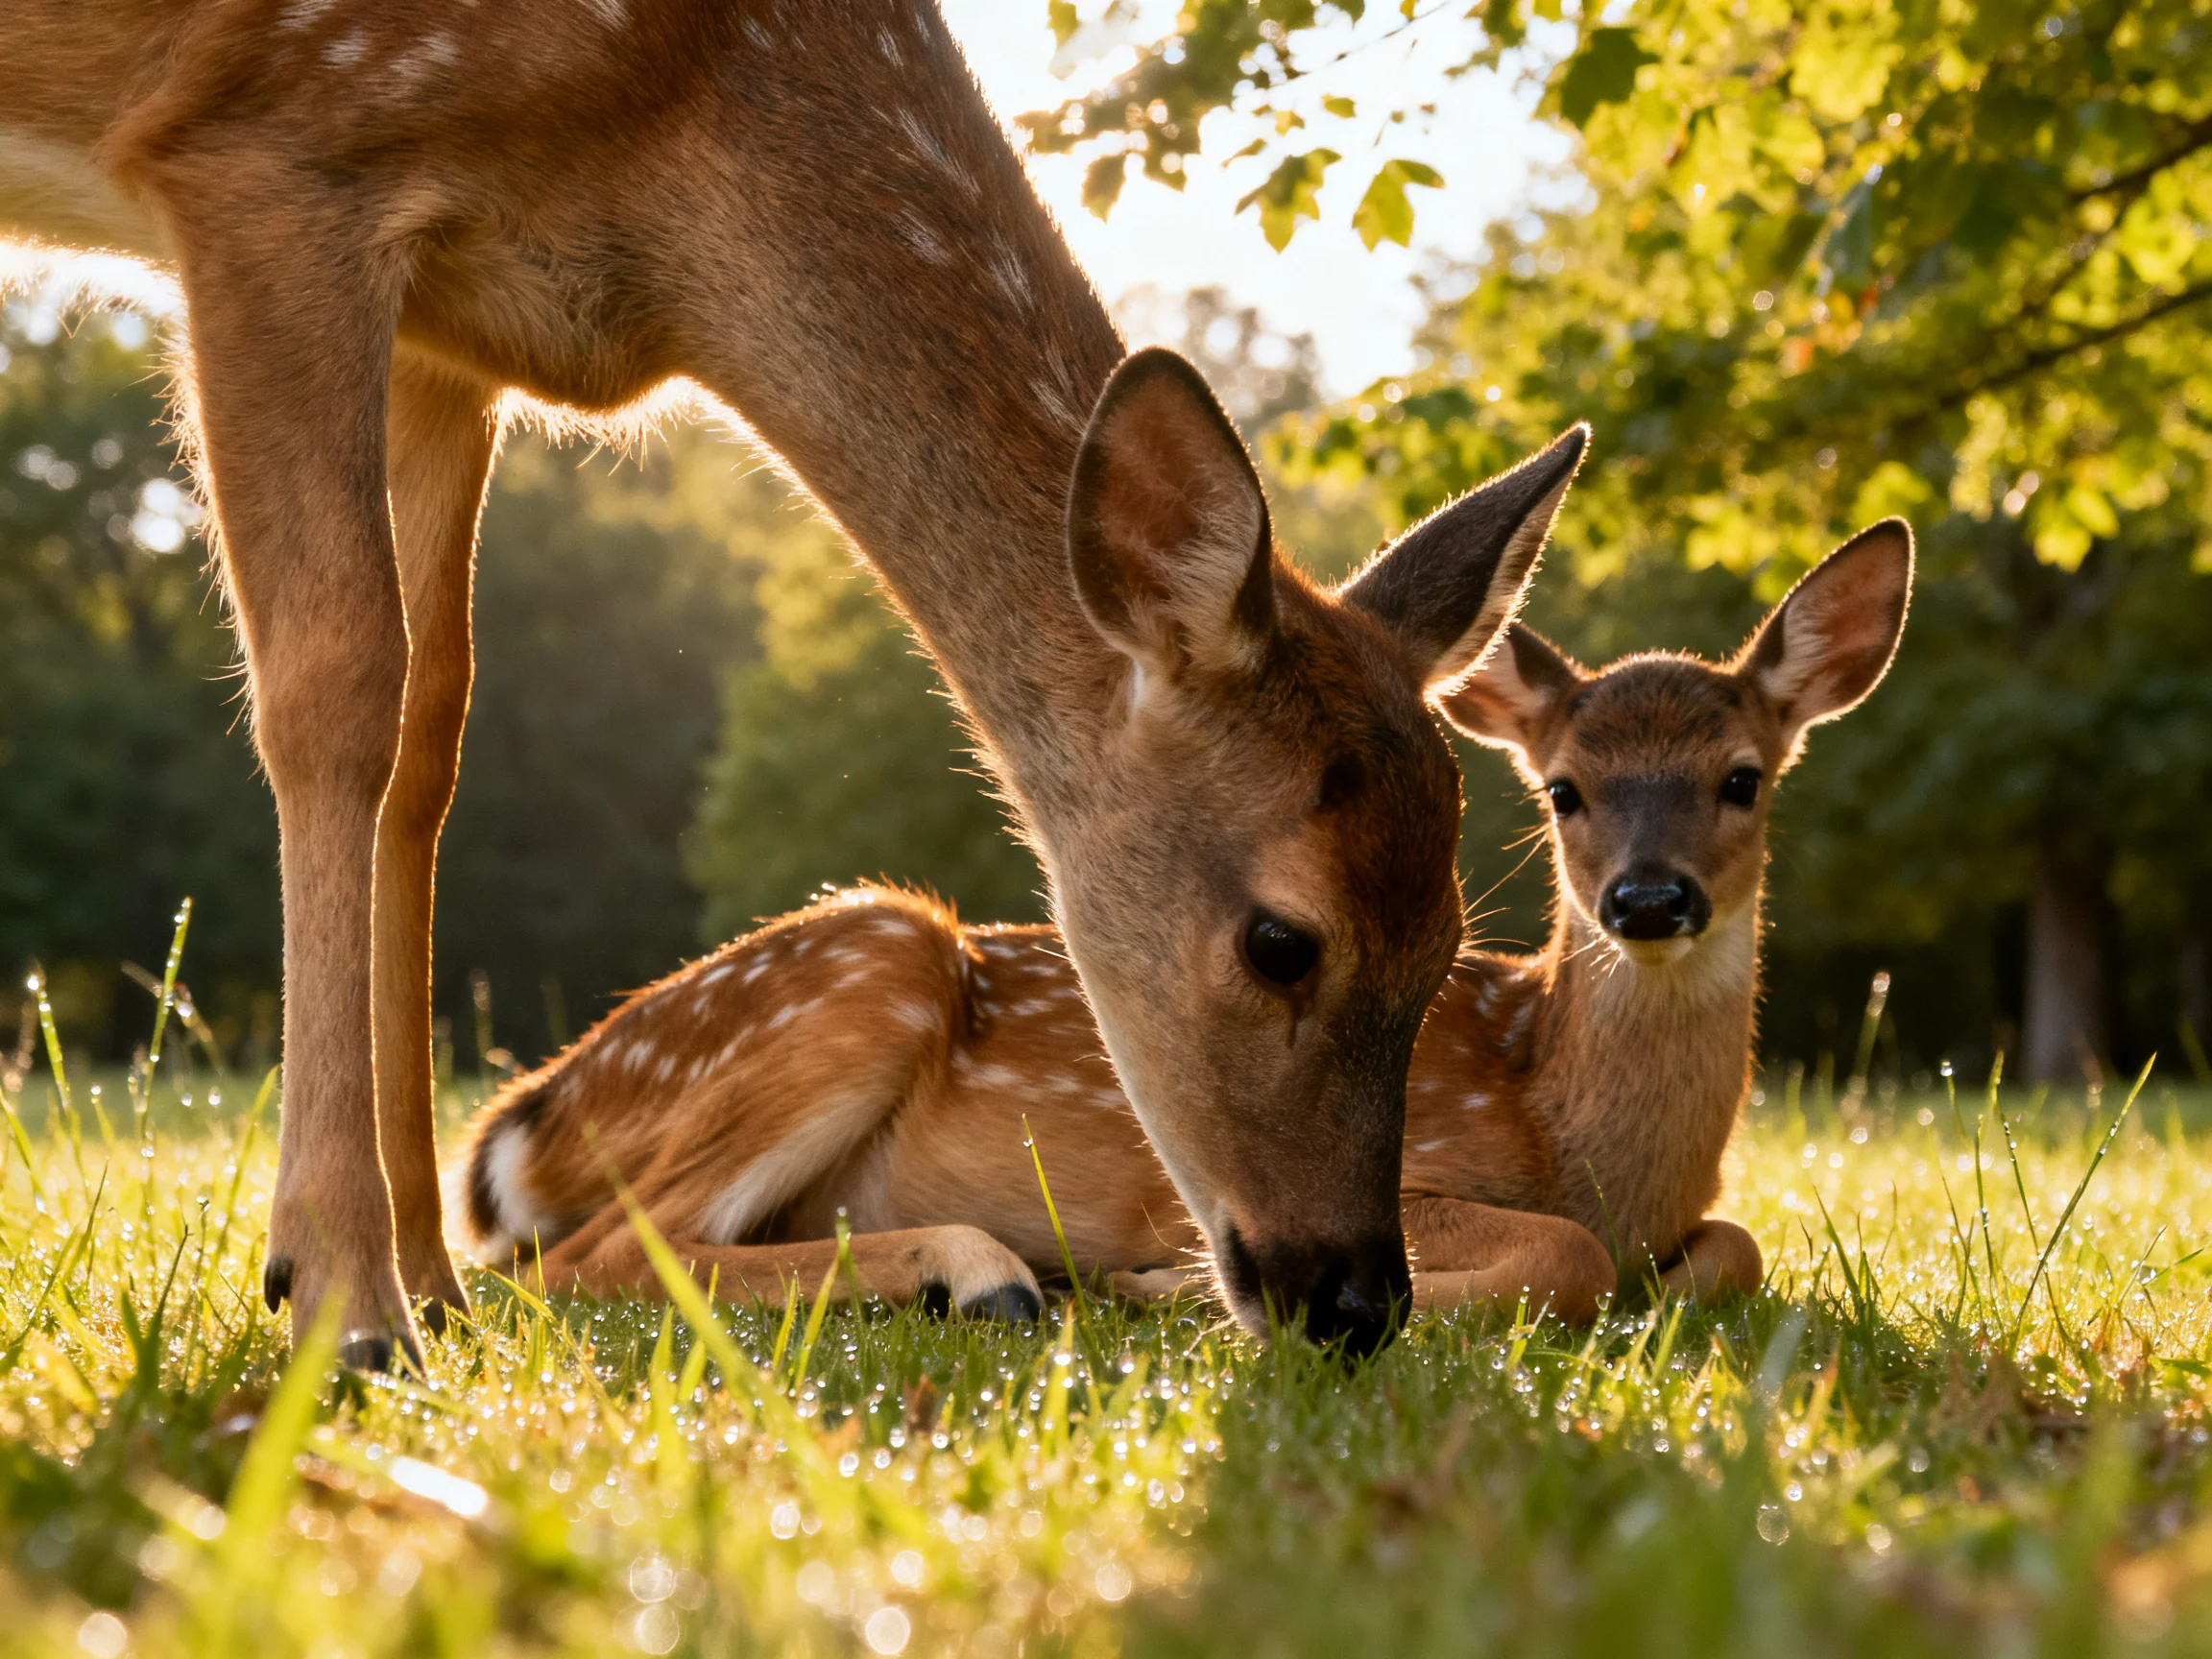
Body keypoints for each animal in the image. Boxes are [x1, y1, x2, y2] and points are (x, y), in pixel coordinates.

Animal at [1, 0, 1591, 1366]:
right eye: (1280, 942)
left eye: (1453, 950)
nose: (1356, 1300)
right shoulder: (275, 150)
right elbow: (336, 686)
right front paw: (341, 1297)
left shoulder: (448, 332)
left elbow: (431, 727)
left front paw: (428, 1284)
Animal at [454, 523, 1914, 1328]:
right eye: (1565, 790)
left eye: (1744, 777)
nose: (1649, 899)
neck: (1583, 1140)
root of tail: (523, 1120)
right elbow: (1567, 1260)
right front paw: (1163, 1285)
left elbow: (1732, 1250)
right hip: (865, 968)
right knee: (583, 1259)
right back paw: (990, 1274)